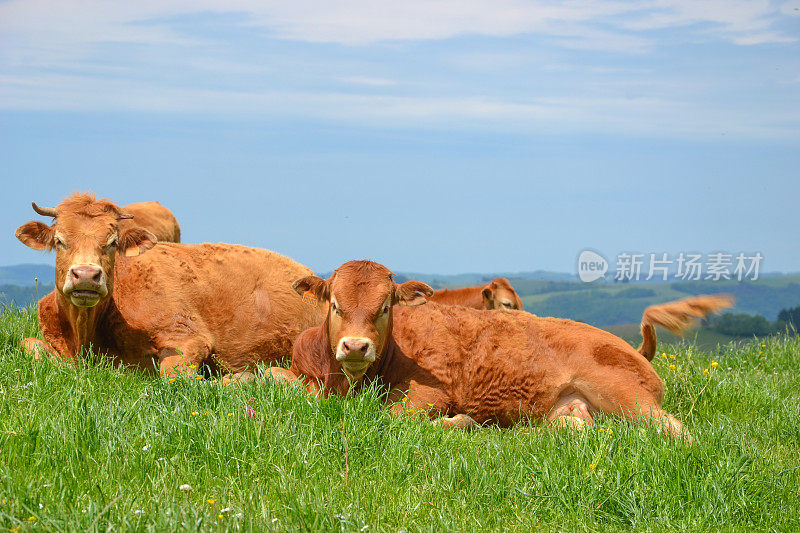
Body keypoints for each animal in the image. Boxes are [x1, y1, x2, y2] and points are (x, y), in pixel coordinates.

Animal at [14, 193, 324, 372]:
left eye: (112, 242)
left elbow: (173, 375)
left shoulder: (188, 337)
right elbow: (28, 344)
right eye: (59, 240)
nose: (87, 275)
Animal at [272, 258, 736, 440]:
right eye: (335, 304)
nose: (355, 345)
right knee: (574, 427)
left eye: (385, 307)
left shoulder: (431, 391)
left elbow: (398, 418)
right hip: (572, 410)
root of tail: (635, 351)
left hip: (629, 398)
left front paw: (460, 422)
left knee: (677, 432)